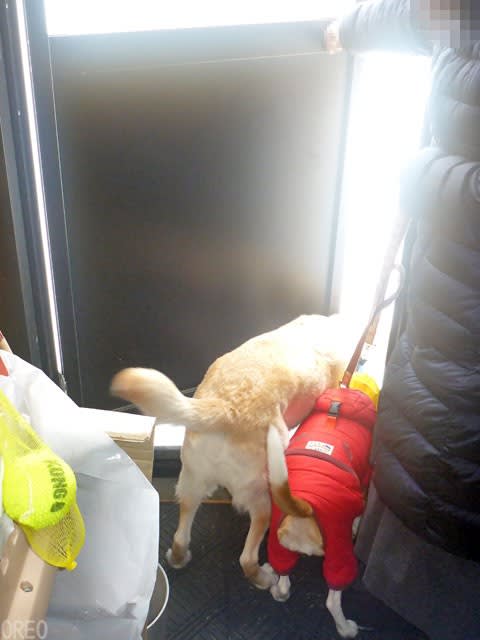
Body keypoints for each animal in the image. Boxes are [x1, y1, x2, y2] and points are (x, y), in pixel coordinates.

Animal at [110, 313, 357, 590]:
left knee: (181, 533)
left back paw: (178, 556)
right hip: (262, 495)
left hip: (192, 479)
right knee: (247, 558)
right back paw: (263, 577)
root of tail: (226, 408)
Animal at [266, 385, 376, 638]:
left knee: (284, 581)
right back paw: (346, 629)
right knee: (332, 600)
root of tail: (303, 504)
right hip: (338, 549)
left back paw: (276, 586)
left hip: (278, 543)